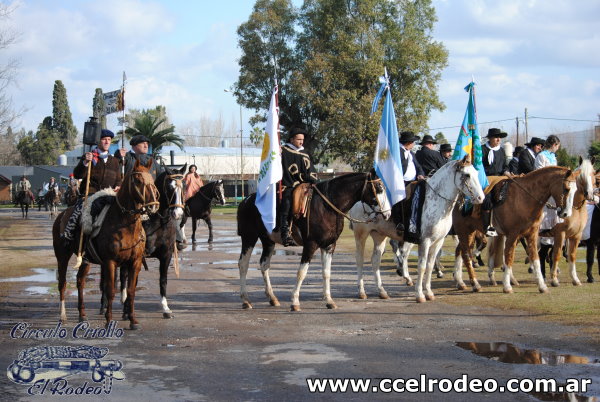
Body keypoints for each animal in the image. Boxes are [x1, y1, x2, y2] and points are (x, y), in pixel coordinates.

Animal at [53, 160, 161, 330]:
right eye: (138, 180)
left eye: (152, 179)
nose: (153, 206)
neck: (124, 224)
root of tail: (61, 216)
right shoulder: (111, 262)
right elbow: (110, 290)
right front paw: (109, 320)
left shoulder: (135, 262)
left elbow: (131, 291)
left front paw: (133, 320)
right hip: (62, 256)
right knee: (62, 283)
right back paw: (63, 315)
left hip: (85, 260)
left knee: (80, 282)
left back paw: (82, 314)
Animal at [236, 171, 384, 310]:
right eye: (379, 188)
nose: (384, 213)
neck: (327, 207)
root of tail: (246, 200)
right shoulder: (310, 245)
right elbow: (302, 273)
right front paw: (295, 302)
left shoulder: (329, 245)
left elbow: (326, 273)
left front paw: (329, 301)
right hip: (249, 237)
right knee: (243, 264)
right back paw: (245, 300)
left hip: (268, 241)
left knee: (264, 265)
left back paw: (272, 298)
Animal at [452, 166, 580, 296]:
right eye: (566, 189)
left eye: (575, 190)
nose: (566, 214)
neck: (524, 198)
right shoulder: (513, 235)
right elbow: (509, 258)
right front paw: (507, 286)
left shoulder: (532, 235)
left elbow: (535, 258)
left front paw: (542, 286)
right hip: (464, 231)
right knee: (466, 255)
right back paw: (475, 284)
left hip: (470, 232)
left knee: (459, 252)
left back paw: (460, 281)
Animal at [548, 157, 596, 286]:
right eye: (581, 176)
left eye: (593, 173)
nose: (589, 194)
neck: (574, 209)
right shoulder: (560, 234)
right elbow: (557, 254)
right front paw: (554, 279)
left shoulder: (576, 235)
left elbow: (572, 255)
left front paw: (575, 279)